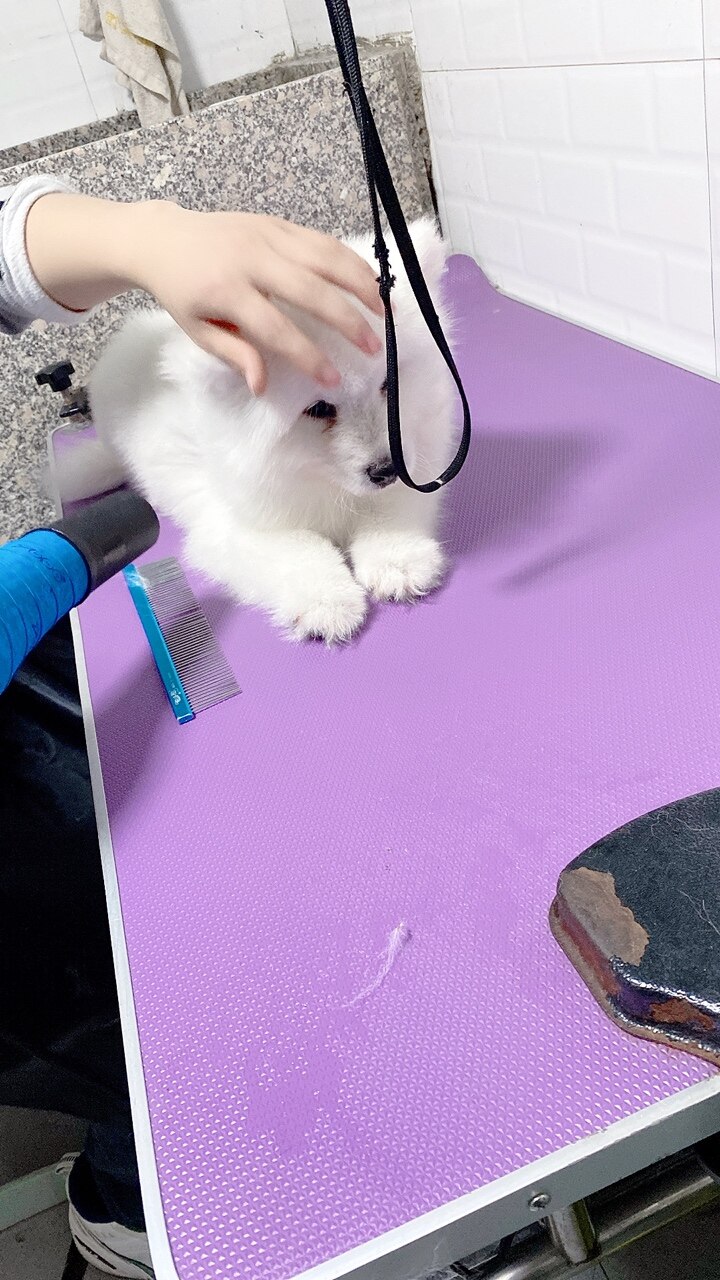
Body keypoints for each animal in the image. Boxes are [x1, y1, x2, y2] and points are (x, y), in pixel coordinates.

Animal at [60, 217, 458, 643]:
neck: (317, 478)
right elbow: (299, 549)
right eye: (319, 409)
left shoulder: (414, 463)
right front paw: (327, 601)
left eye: (390, 384)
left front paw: (399, 560)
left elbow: (390, 509)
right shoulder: (236, 522)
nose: (384, 469)